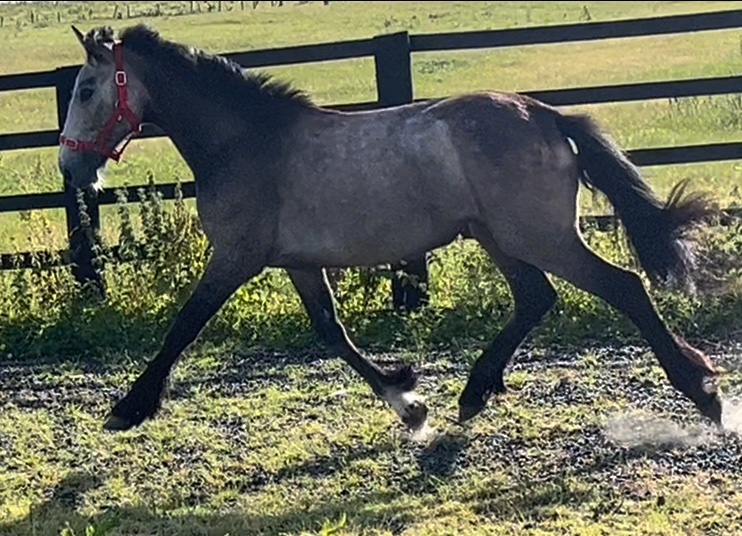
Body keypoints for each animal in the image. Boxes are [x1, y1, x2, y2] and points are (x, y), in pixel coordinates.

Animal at [58, 24, 723, 435]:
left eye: (87, 89)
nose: (70, 167)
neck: (245, 141)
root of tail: (547, 115)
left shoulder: (236, 257)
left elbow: (184, 326)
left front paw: (128, 407)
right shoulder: (297, 262)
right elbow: (332, 333)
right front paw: (408, 401)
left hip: (542, 237)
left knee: (623, 287)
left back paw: (703, 393)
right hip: (499, 236)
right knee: (537, 298)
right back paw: (473, 393)